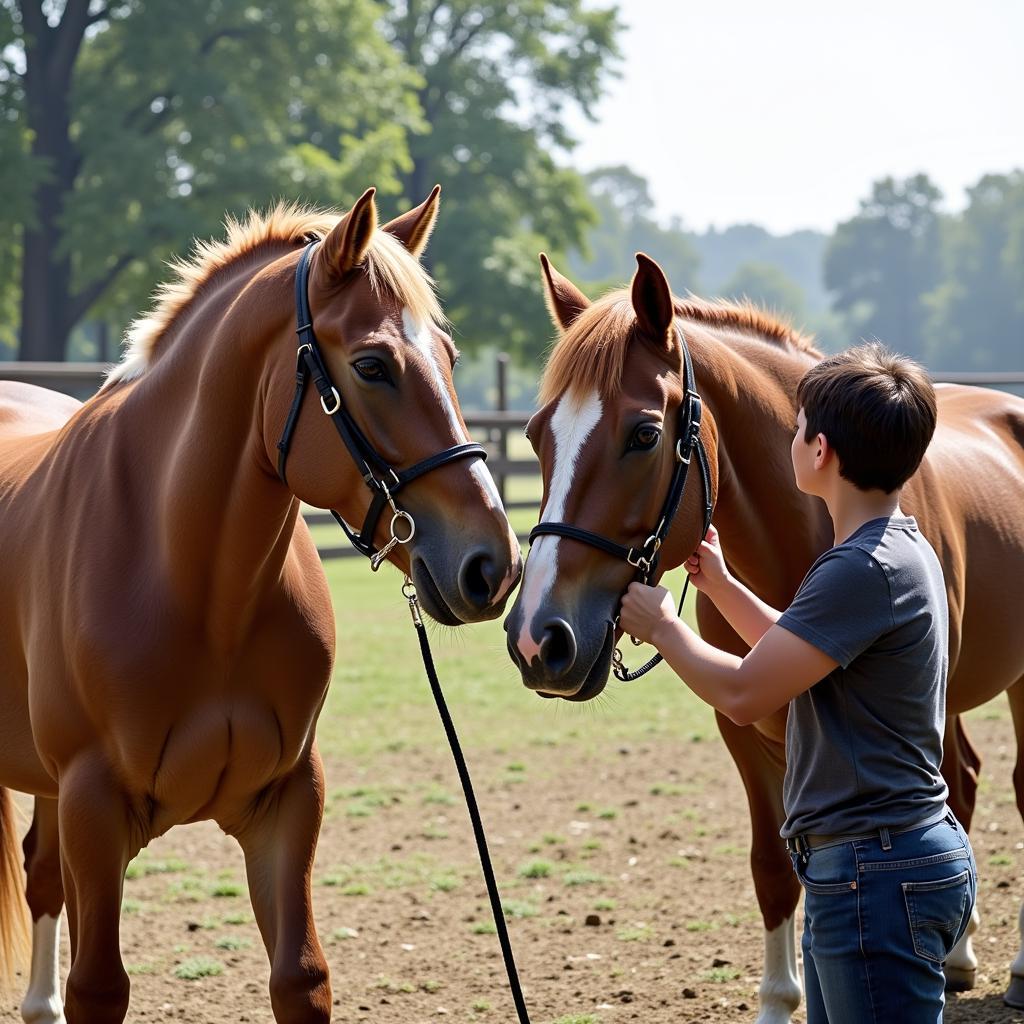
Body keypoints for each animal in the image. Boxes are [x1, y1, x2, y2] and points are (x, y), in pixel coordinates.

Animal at [0, 186, 520, 1024]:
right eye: (372, 365)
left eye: (448, 356)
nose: (491, 564)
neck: (196, 584)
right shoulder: (93, 810)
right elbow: (99, 987)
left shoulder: (286, 801)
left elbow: (300, 977)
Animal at [503, 251, 1024, 1019]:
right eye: (537, 434)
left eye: (644, 434)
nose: (539, 638)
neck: (806, 535)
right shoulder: (746, 731)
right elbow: (774, 866)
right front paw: (781, 1000)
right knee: (960, 784)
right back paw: (957, 958)